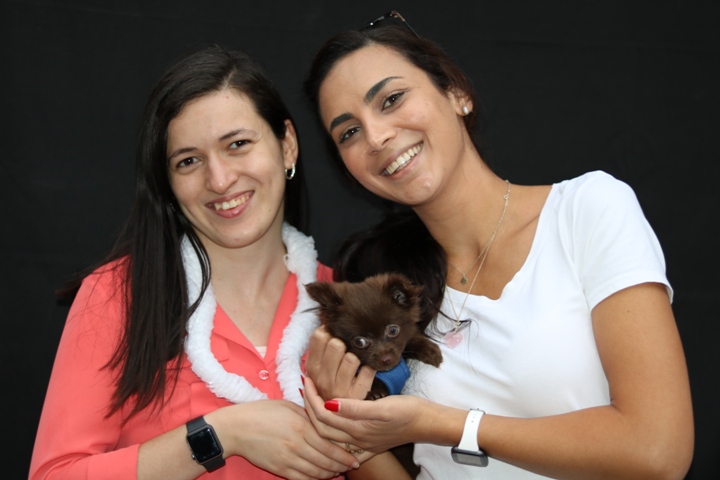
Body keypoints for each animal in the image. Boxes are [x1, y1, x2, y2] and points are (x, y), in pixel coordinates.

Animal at [302, 272, 438, 400]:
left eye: (393, 330)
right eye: (359, 342)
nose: (386, 359)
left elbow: (411, 337)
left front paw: (430, 351)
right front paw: (375, 393)